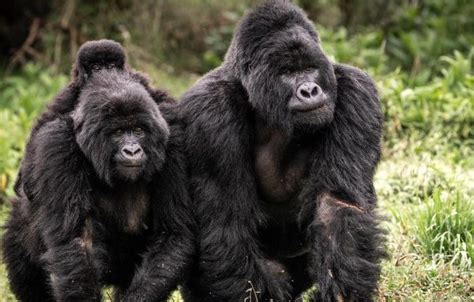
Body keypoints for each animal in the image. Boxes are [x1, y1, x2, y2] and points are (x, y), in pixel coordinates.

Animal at [1, 40, 193, 302]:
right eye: (118, 133)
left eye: (139, 130)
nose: (132, 150)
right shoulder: (58, 142)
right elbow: (78, 242)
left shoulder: (173, 137)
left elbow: (172, 232)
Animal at [180, 1, 386, 300]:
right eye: (288, 73)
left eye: (310, 69)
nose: (310, 90)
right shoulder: (208, 113)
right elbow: (227, 225)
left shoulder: (356, 92)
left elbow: (336, 205)